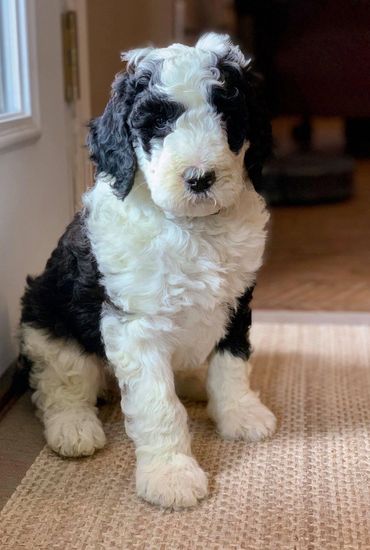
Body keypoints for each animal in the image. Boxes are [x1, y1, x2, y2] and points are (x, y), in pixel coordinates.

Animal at [18, 33, 276, 508]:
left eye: (227, 116)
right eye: (156, 122)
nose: (200, 177)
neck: (192, 228)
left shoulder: (236, 301)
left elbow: (231, 365)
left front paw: (241, 413)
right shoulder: (135, 325)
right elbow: (158, 405)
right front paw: (170, 474)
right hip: (46, 323)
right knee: (59, 384)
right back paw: (73, 428)